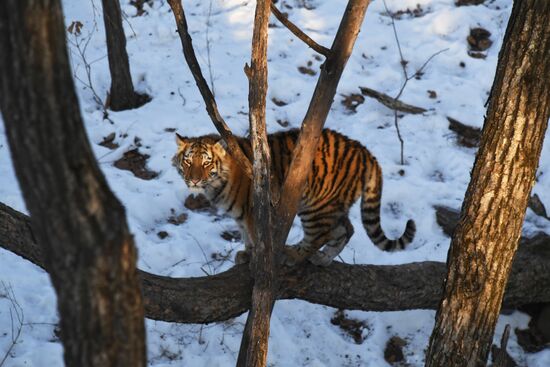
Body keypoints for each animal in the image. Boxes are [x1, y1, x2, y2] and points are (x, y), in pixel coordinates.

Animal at [175, 128, 416, 266]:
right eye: (188, 161)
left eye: (207, 162)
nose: (193, 180)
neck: (215, 185)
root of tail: (365, 152)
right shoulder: (241, 217)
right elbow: (246, 238)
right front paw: (246, 254)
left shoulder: (254, 212)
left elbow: (257, 239)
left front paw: (255, 260)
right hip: (333, 205)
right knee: (346, 229)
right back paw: (323, 259)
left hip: (316, 206)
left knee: (319, 235)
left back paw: (293, 256)